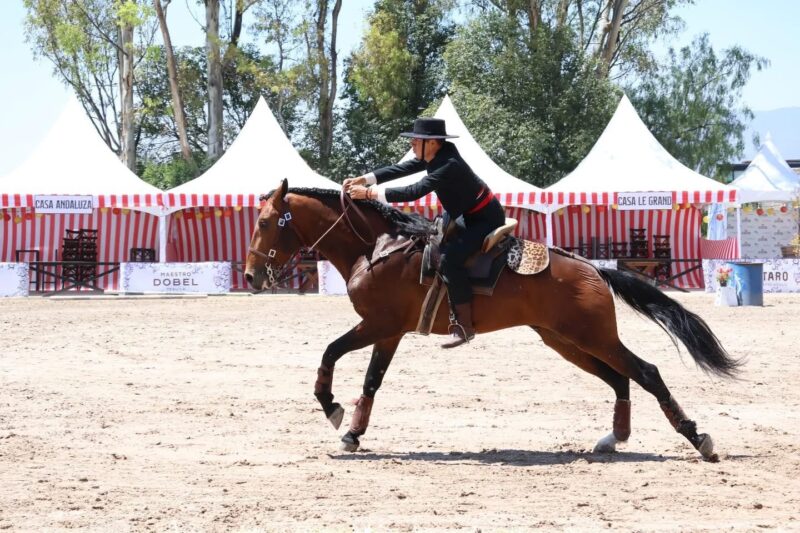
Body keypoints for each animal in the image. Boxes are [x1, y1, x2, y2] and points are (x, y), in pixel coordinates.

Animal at [245, 179, 741, 462]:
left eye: (267, 222)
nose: (250, 276)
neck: (377, 246)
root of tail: (595, 269)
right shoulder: (388, 332)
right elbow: (371, 381)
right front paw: (352, 431)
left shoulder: (377, 326)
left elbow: (331, 353)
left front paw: (331, 409)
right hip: (566, 340)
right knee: (621, 379)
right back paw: (613, 439)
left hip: (591, 336)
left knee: (646, 372)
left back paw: (698, 438)